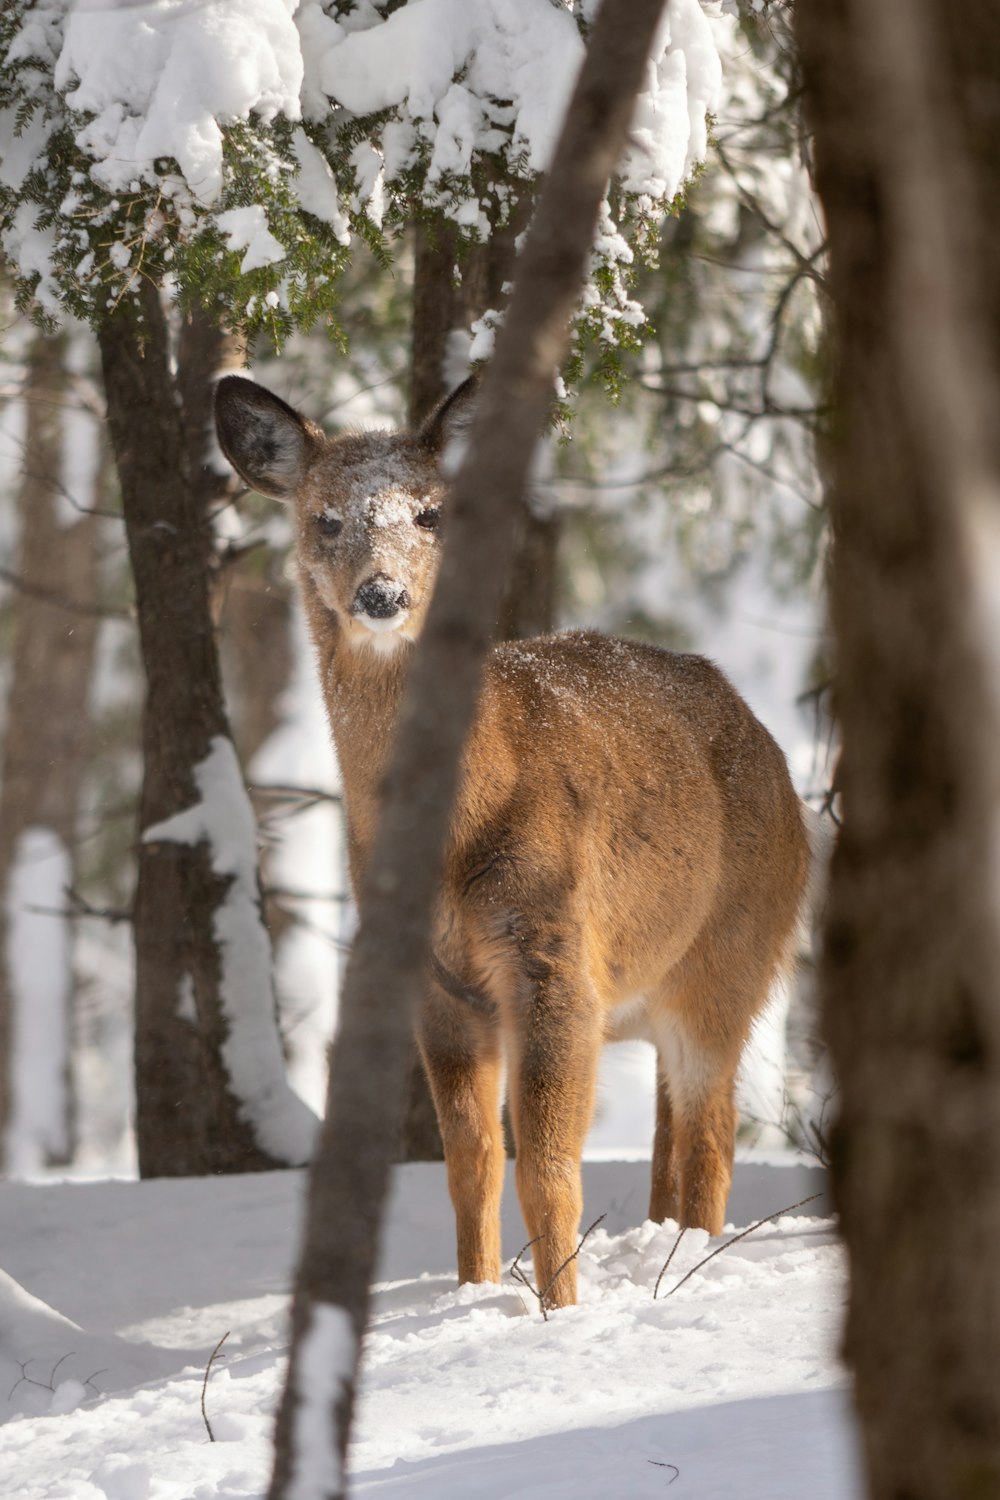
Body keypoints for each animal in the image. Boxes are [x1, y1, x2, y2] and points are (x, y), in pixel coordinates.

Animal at [215, 378, 815, 1314]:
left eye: (430, 512)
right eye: (326, 518)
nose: (381, 595)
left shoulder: (554, 953)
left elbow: (548, 1167)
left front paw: (558, 1315)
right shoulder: (436, 985)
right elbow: (471, 1165)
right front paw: (471, 1292)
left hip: (737, 949)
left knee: (713, 1127)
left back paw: (694, 1259)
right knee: (670, 1131)